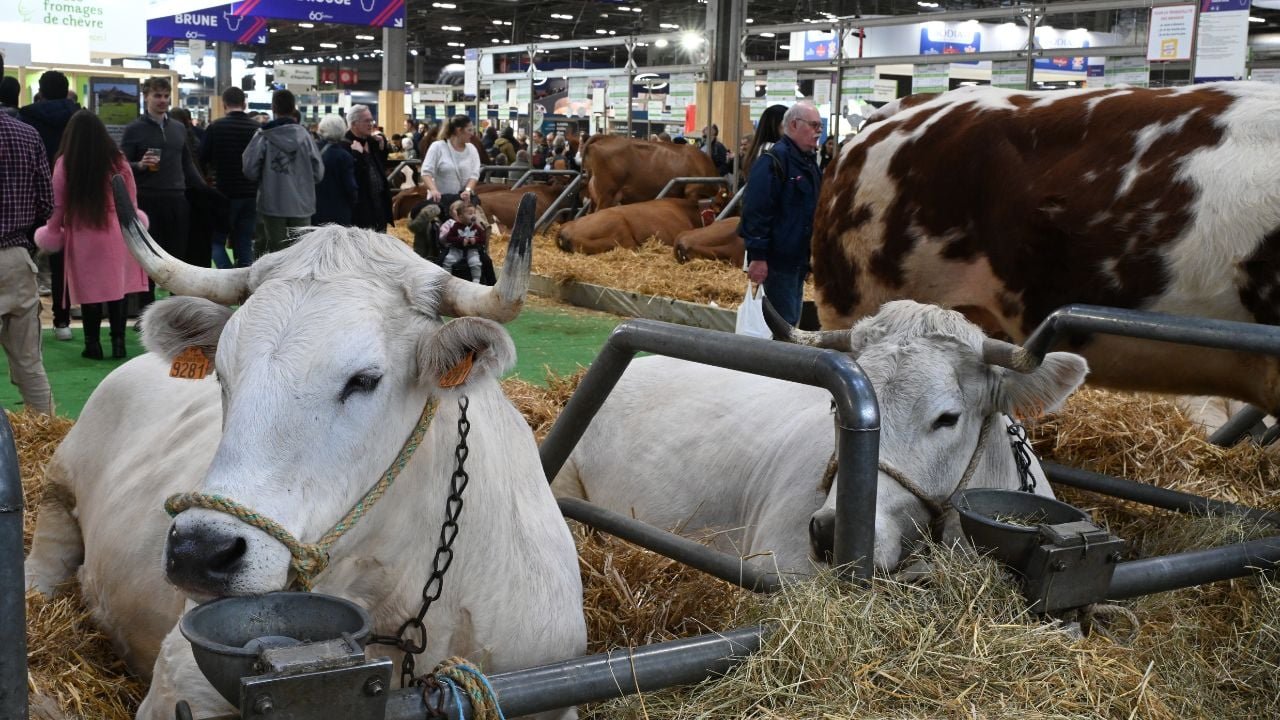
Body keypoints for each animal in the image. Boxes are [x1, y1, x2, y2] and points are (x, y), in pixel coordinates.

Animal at [24, 186, 587, 719]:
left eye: (364, 379)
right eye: (222, 372)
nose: (200, 551)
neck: (401, 594)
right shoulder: (176, 686)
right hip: (57, 485)